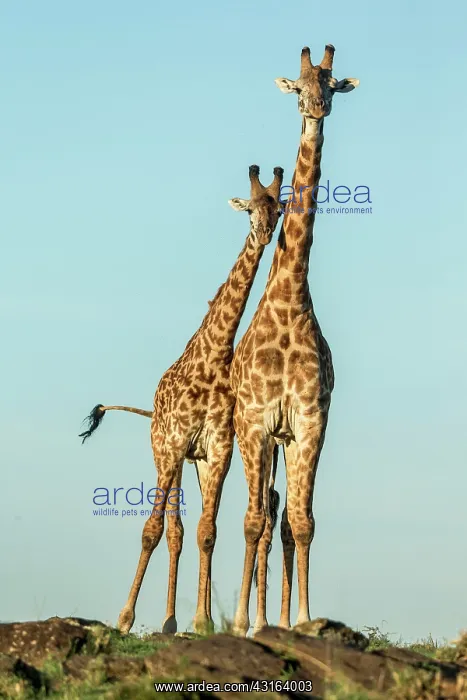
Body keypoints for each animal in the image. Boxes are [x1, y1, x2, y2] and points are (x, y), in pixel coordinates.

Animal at [79, 164, 284, 635]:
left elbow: (208, 531)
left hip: (197, 462)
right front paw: (125, 619)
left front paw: (204, 622)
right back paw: (163, 618)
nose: (265, 234)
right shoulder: (174, 445)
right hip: (163, 453)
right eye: (250, 210)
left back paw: (181, 619)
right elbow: (152, 529)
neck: (214, 355)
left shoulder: (219, 448)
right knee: (170, 530)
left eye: (277, 210)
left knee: (190, 531)